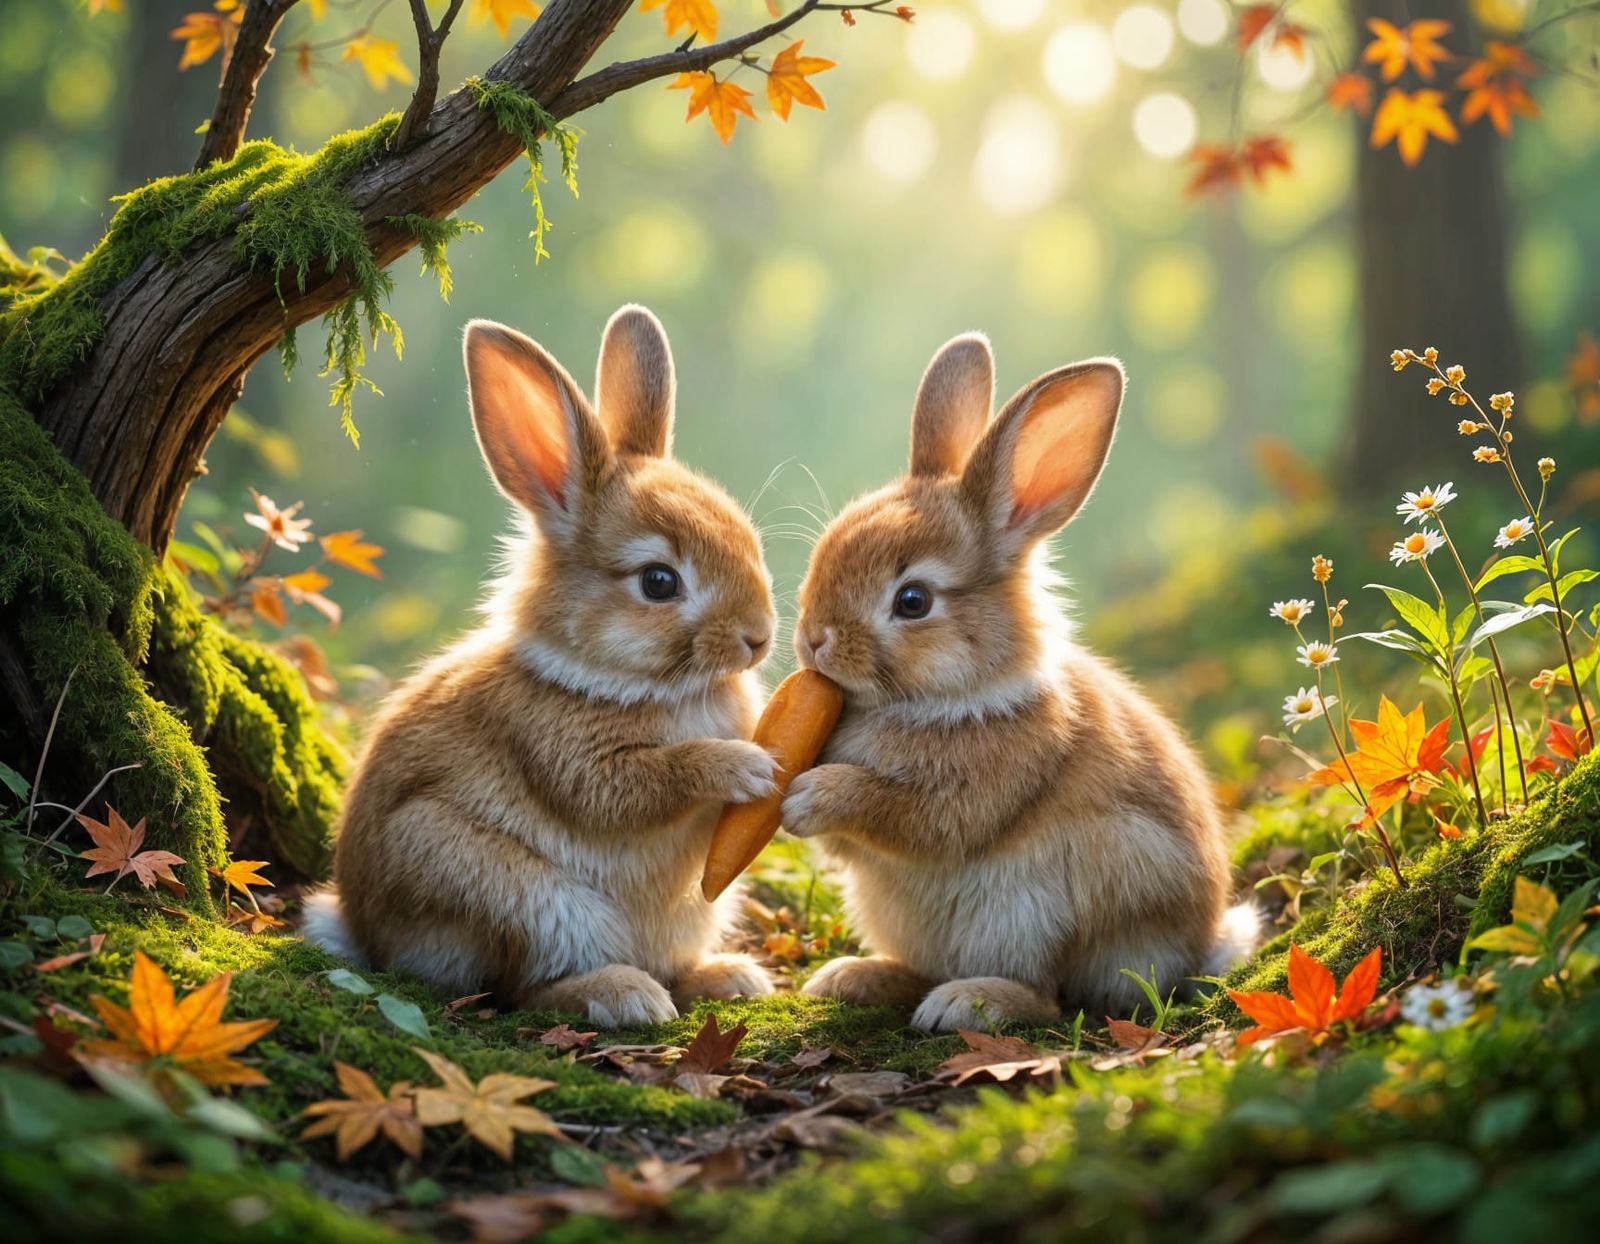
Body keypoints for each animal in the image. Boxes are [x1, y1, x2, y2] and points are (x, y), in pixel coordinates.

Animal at [301, 306, 781, 1026]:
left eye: (748, 540)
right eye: (659, 582)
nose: (759, 638)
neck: (622, 680)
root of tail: (363, 932)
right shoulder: (566, 755)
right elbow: (633, 786)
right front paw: (746, 767)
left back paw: (729, 977)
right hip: (512, 894)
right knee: (515, 991)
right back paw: (623, 996)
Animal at [781, 333, 1259, 1032]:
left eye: (913, 601)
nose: (813, 639)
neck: (945, 698)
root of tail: (1196, 951)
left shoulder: (972, 792)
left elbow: (911, 817)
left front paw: (807, 799)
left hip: (1057, 903)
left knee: (1054, 998)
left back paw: (966, 1004)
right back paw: (854, 978)